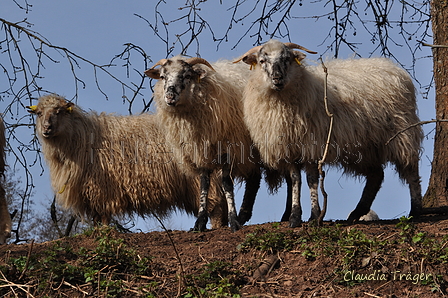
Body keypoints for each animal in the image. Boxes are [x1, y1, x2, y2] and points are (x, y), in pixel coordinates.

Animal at [27, 94, 228, 229]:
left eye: (59, 112)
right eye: (39, 114)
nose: (47, 128)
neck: (81, 138)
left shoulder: (104, 189)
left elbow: (104, 216)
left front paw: (106, 232)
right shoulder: (92, 192)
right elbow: (96, 219)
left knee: (216, 205)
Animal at [145, 56, 272, 232]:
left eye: (187, 76)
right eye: (163, 76)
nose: (169, 96)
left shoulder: (227, 148)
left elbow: (227, 184)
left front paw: (233, 221)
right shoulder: (199, 151)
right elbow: (204, 185)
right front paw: (200, 222)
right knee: (254, 179)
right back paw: (244, 215)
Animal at [236, 39, 422, 226]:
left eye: (287, 59)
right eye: (262, 61)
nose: (277, 78)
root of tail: (393, 67)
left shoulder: (310, 145)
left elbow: (311, 180)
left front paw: (314, 215)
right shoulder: (289, 148)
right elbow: (295, 180)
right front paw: (295, 217)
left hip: (402, 133)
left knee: (411, 171)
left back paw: (416, 210)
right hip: (365, 146)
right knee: (376, 175)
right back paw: (357, 213)